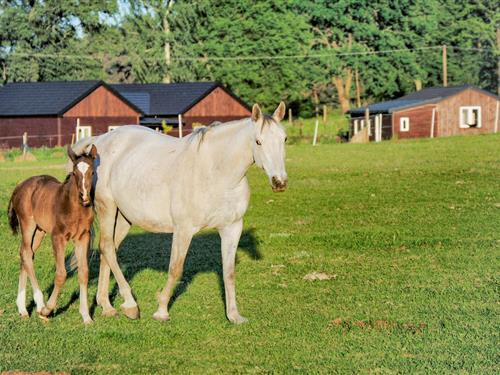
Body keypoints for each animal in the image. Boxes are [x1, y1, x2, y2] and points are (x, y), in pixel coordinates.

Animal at [7, 145, 97, 324]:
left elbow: (83, 272)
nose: (84, 197)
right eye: (74, 172)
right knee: (26, 253)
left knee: (26, 255)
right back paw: (39, 303)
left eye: (92, 172)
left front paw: (86, 316)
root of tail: (18, 187)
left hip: (39, 231)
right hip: (27, 225)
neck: (74, 208)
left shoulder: (83, 237)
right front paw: (46, 310)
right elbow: (61, 274)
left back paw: (22, 308)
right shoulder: (57, 237)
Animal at [72, 102, 288, 324]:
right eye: (258, 141)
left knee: (109, 250)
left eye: (284, 139)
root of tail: (101, 140)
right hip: (107, 207)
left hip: (124, 217)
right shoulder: (183, 230)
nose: (279, 182)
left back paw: (106, 305)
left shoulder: (232, 228)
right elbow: (175, 269)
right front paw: (161, 311)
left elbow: (229, 272)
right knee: (107, 247)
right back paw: (130, 305)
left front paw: (234, 315)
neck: (216, 172)